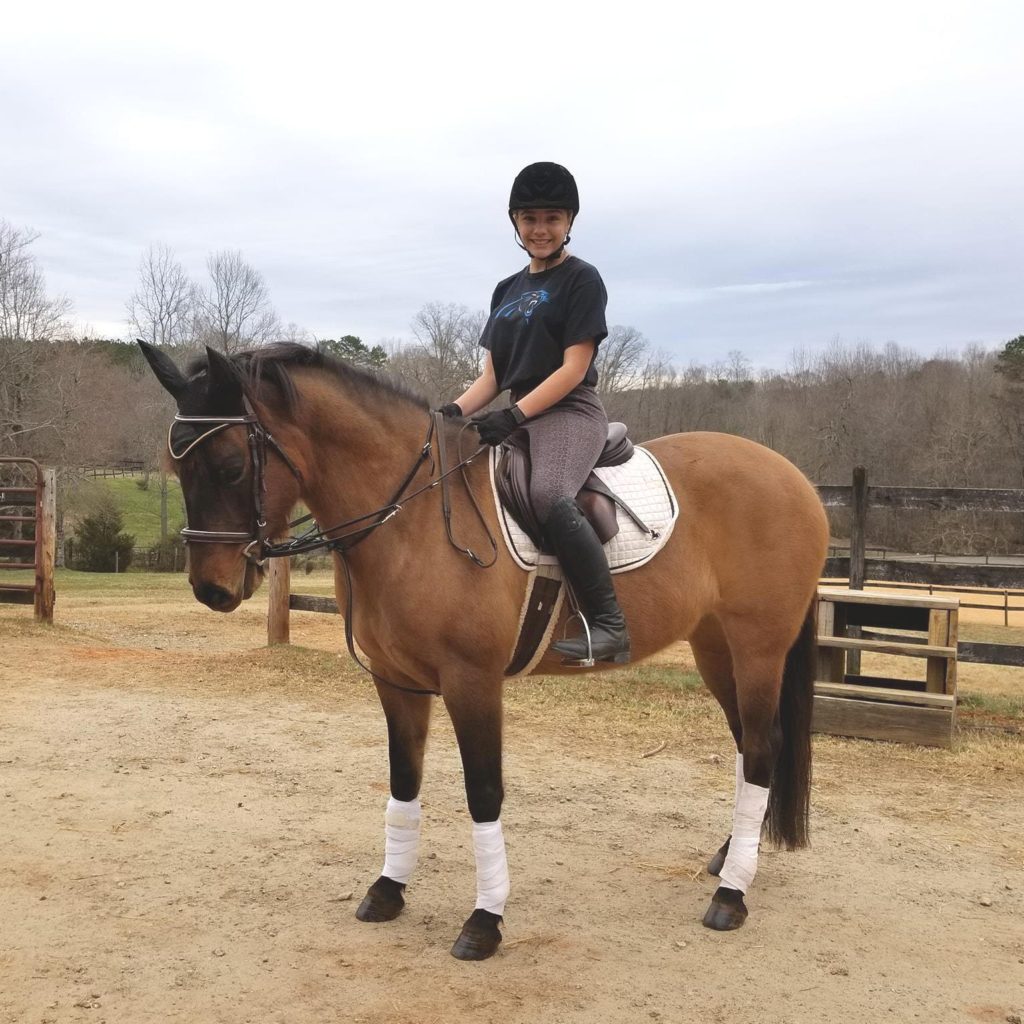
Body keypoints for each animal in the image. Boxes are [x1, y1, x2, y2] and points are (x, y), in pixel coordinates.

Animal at [139, 340, 829, 961]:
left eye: (231, 465)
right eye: (177, 471)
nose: (212, 589)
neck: (410, 520)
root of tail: (793, 475)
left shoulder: (472, 682)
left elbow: (484, 792)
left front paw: (484, 921)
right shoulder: (396, 681)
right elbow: (404, 782)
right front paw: (388, 890)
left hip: (758, 647)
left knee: (760, 749)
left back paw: (732, 895)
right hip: (715, 646)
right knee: (749, 747)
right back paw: (733, 859)